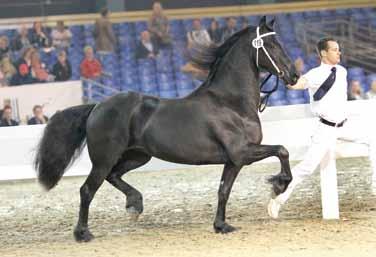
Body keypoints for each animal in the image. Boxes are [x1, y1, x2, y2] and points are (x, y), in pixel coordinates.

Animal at [35, 17, 300, 241]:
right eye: (271, 45)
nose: (294, 75)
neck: (230, 102)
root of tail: (97, 106)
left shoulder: (233, 161)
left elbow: (223, 191)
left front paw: (221, 226)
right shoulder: (242, 152)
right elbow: (282, 150)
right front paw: (279, 185)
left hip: (137, 156)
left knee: (114, 176)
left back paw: (135, 205)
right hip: (104, 160)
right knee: (87, 190)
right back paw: (83, 233)